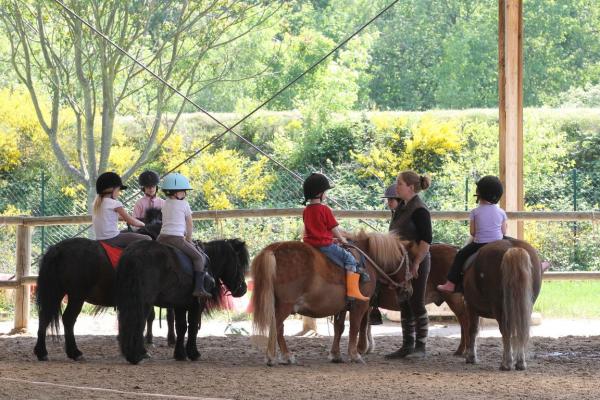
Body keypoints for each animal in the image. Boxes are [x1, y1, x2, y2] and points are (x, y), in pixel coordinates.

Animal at [33, 208, 163, 360]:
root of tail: (57, 249)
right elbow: (143, 318)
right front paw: (142, 349)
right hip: (77, 295)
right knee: (68, 319)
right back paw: (74, 352)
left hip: (56, 292)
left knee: (44, 317)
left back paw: (42, 352)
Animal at [117, 239, 248, 364]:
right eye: (239, 264)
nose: (244, 289)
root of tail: (133, 254)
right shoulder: (196, 305)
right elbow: (193, 327)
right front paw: (193, 353)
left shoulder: (180, 305)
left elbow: (181, 327)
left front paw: (180, 354)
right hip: (143, 301)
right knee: (138, 322)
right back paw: (136, 355)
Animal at [251, 231, 414, 366]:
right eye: (410, 264)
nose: (410, 290)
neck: (367, 260)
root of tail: (274, 249)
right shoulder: (360, 305)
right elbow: (354, 327)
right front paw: (354, 355)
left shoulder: (342, 307)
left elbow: (339, 328)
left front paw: (335, 354)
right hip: (285, 305)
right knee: (276, 326)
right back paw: (272, 357)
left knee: (279, 328)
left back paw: (286, 356)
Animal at [462, 238, 540, 372]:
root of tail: (512, 248)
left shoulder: (470, 307)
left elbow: (472, 330)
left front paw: (471, 357)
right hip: (525, 306)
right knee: (520, 331)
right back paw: (520, 362)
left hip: (499, 308)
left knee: (506, 331)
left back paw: (506, 363)